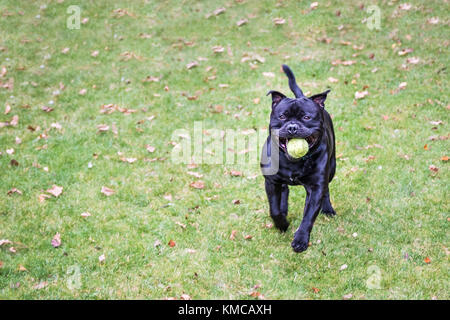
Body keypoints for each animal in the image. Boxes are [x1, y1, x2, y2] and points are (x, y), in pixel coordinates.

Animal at [258, 65, 336, 252]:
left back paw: (328, 208)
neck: (292, 162)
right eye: (282, 116)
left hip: (332, 167)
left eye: (307, 117)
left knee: (327, 189)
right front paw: (282, 224)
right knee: (284, 190)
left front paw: (300, 240)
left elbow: (308, 217)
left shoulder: (315, 187)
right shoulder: (271, 182)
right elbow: (274, 210)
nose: (292, 127)